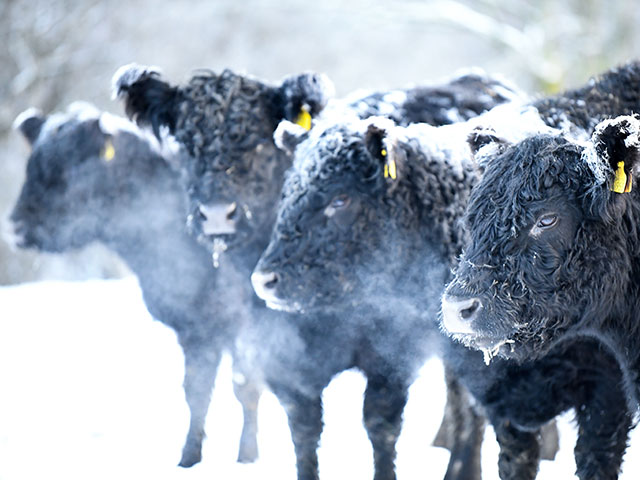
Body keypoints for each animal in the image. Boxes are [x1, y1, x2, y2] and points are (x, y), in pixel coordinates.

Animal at [8, 103, 262, 466]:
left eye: (69, 169)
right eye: (32, 163)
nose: (15, 227)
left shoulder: (240, 322)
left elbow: (244, 388)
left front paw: (245, 458)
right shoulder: (196, 328)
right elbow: (196, 391)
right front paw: (189, 459)